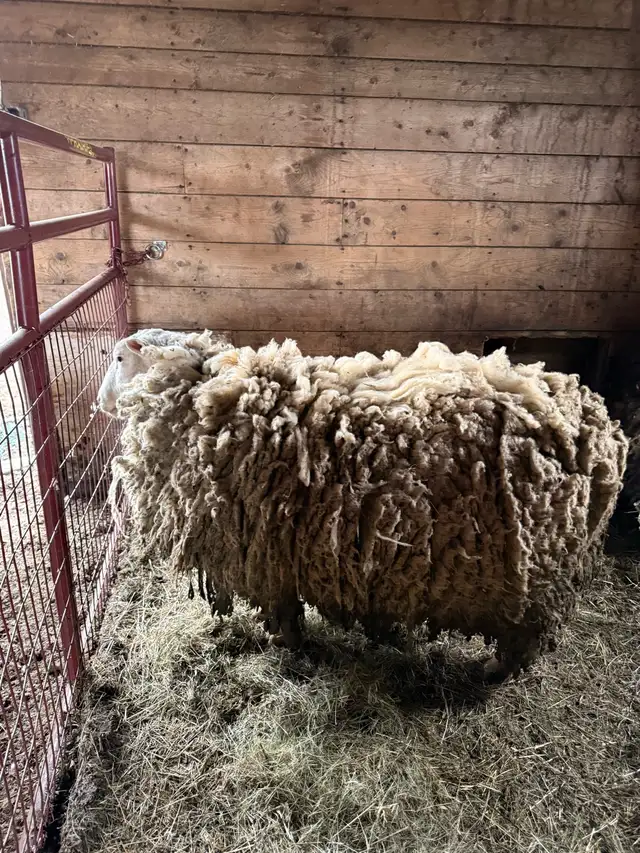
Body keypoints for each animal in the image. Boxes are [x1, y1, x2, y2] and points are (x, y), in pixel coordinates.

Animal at [98, 332, 628, 681]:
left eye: (119, 357)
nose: (98, 404)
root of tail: (600, 430)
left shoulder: (267, 556)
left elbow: (284, 615)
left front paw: (290, 646)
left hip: (539, 578)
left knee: (522, 642)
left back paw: (491, 671)